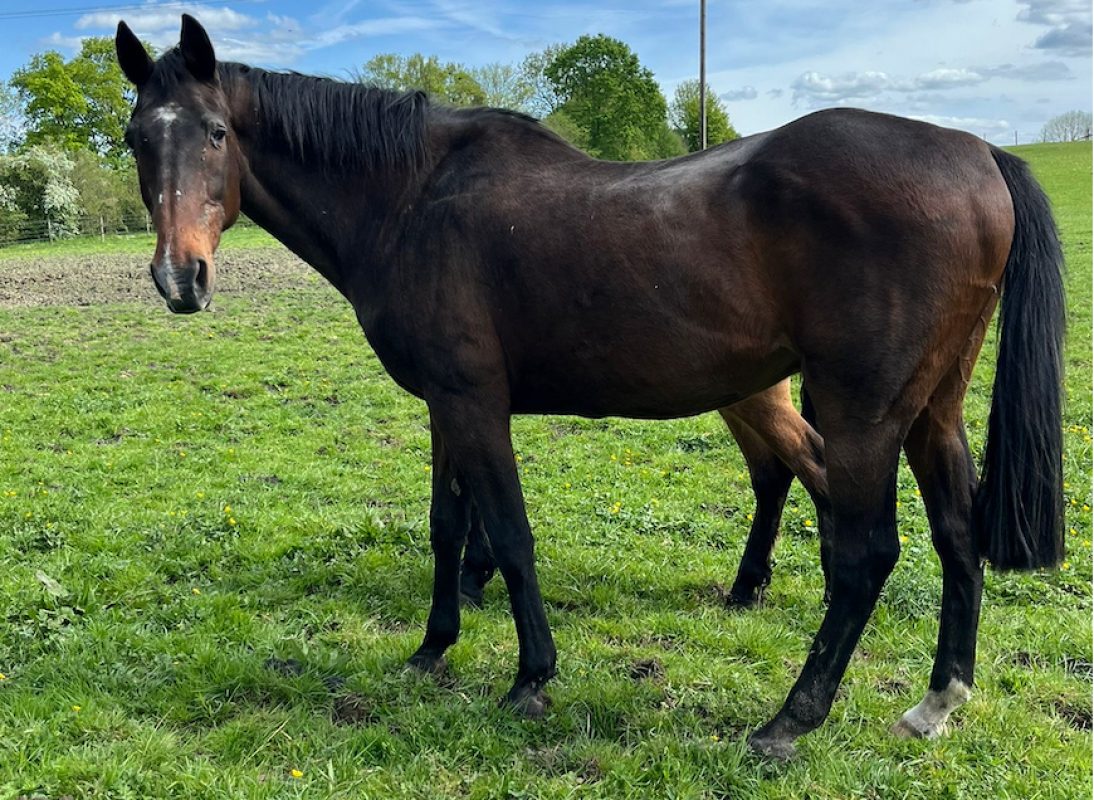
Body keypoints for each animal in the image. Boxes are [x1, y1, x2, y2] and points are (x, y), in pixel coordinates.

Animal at [115, 15, 1065, 759]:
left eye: (215, 133)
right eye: (135, 139)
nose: (180, 278)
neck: (412, 199)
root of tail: (976, 151)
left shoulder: (474, 402)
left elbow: (509, 533)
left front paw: (530, 678)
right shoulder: (444, 407)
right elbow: (448, 528)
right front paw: (432, 649)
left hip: (861, 412)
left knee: (864, 553)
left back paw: (790, 719)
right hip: (932, 407)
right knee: (955, 536)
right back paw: (937, 702)